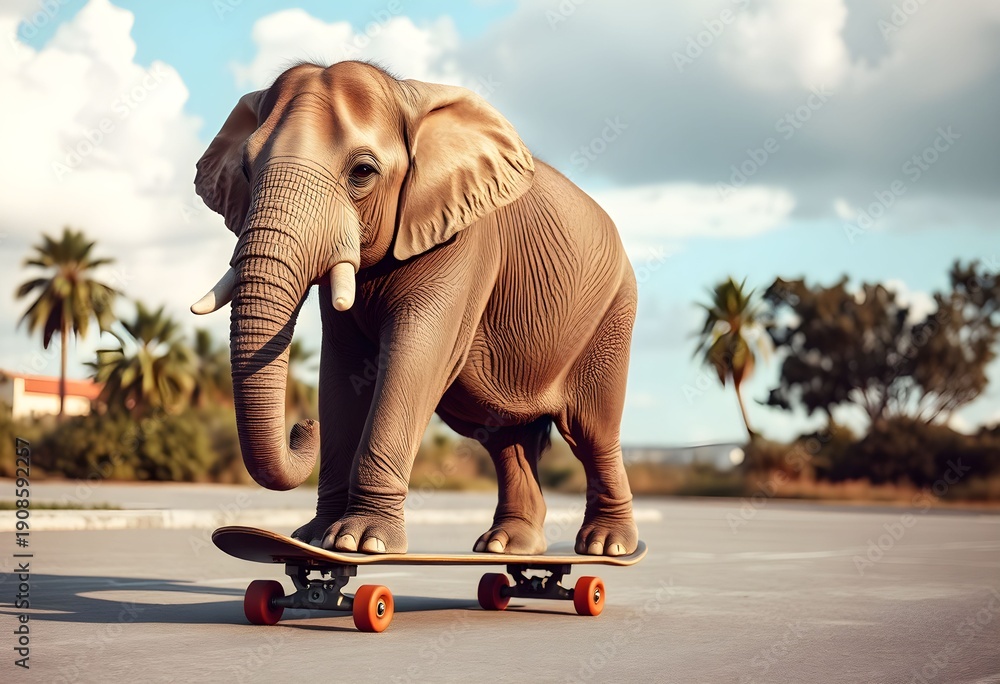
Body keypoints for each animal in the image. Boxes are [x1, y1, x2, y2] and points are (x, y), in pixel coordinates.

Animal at [191, 61, 637, 557]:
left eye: (362, 172)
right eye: (246, 171)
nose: (303, 426)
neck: (406, 97)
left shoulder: (463, 239)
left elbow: (414, 357)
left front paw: (360, 542)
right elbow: (343, 370)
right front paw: (314, 539)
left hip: (612, 313)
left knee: (591, 430)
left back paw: (607, 548)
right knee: (504, 435)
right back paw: (507, 547)